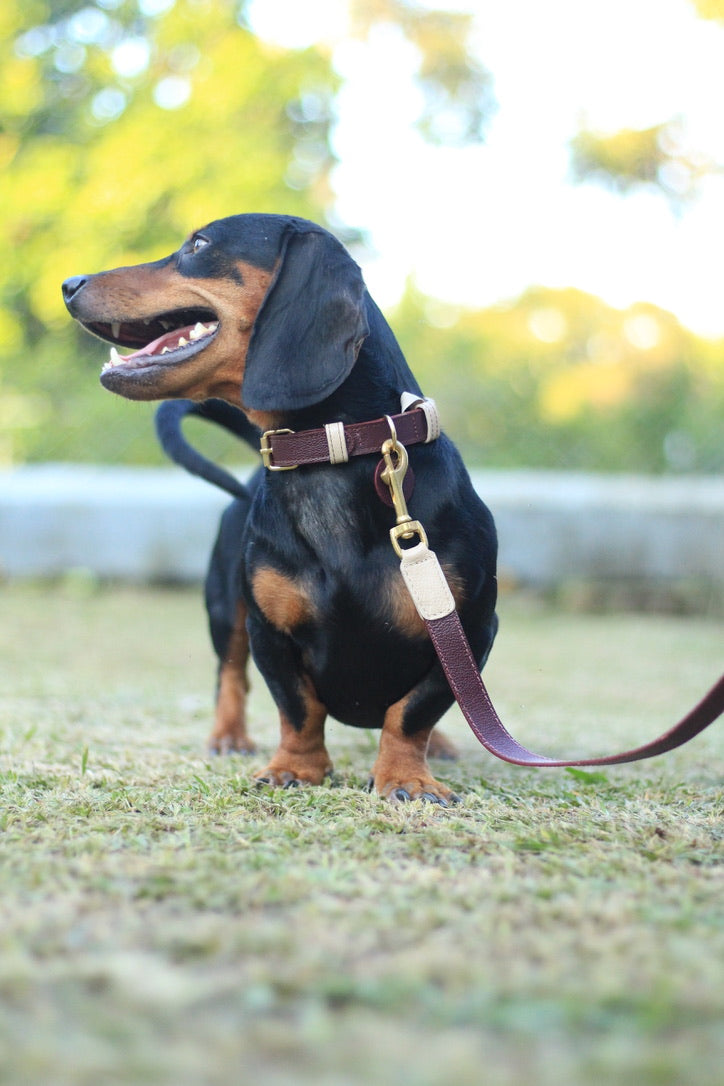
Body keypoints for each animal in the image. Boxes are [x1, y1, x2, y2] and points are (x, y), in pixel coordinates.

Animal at [63, 213, 499, 807]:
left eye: (198, 244)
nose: (68, 284)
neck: (330, 456)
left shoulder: (470, 626)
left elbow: (414, 710)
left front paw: (406, 777)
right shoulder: (269, 630)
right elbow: (297, 707)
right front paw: (295, 768)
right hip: (224, 608)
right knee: (229, 674)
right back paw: (228, 737)